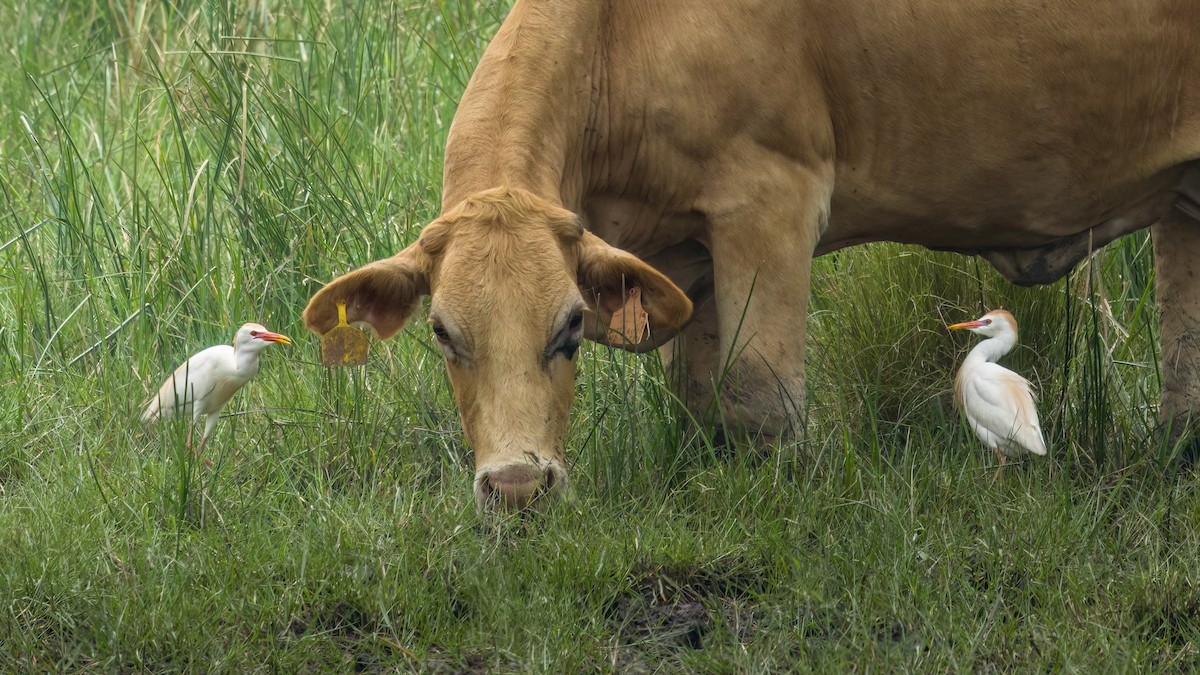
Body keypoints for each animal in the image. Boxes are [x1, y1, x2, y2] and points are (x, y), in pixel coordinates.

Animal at [307, 0, 1200, 504]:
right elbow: (702, 398)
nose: (518, 486)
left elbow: (760, 395)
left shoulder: (768, 197)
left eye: (570, 328)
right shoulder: (690, 254)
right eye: (442, 333)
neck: (616, 35)